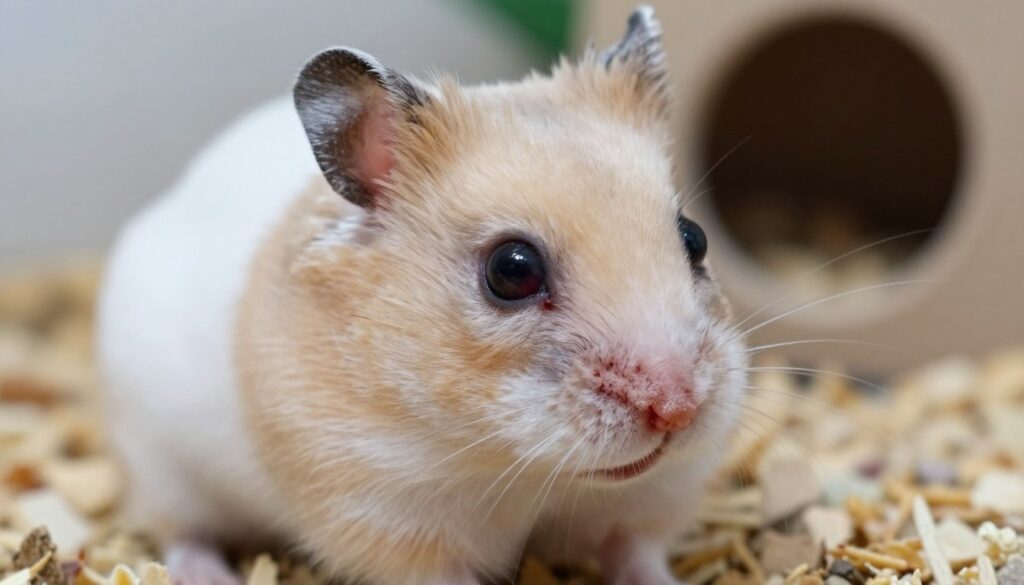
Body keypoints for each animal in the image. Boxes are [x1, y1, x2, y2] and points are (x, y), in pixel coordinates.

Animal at [97, 6, 746, 585]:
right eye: (512, 270)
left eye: (695, 238)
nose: (678, 408)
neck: (522, 468)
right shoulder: (381, 510)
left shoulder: (651, 497)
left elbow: (636, 555)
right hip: (163, 466)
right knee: (180, 532)